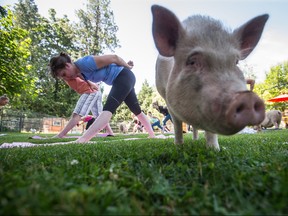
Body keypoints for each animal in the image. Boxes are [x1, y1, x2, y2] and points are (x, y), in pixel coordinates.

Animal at [151, 5, 268, 150]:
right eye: (192, 61)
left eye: (236, 62)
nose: (247, 97)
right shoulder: (168, 101)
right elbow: (177, 124)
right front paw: (178, 146)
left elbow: (210, 130)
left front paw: (214, 149)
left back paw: (196, 140)